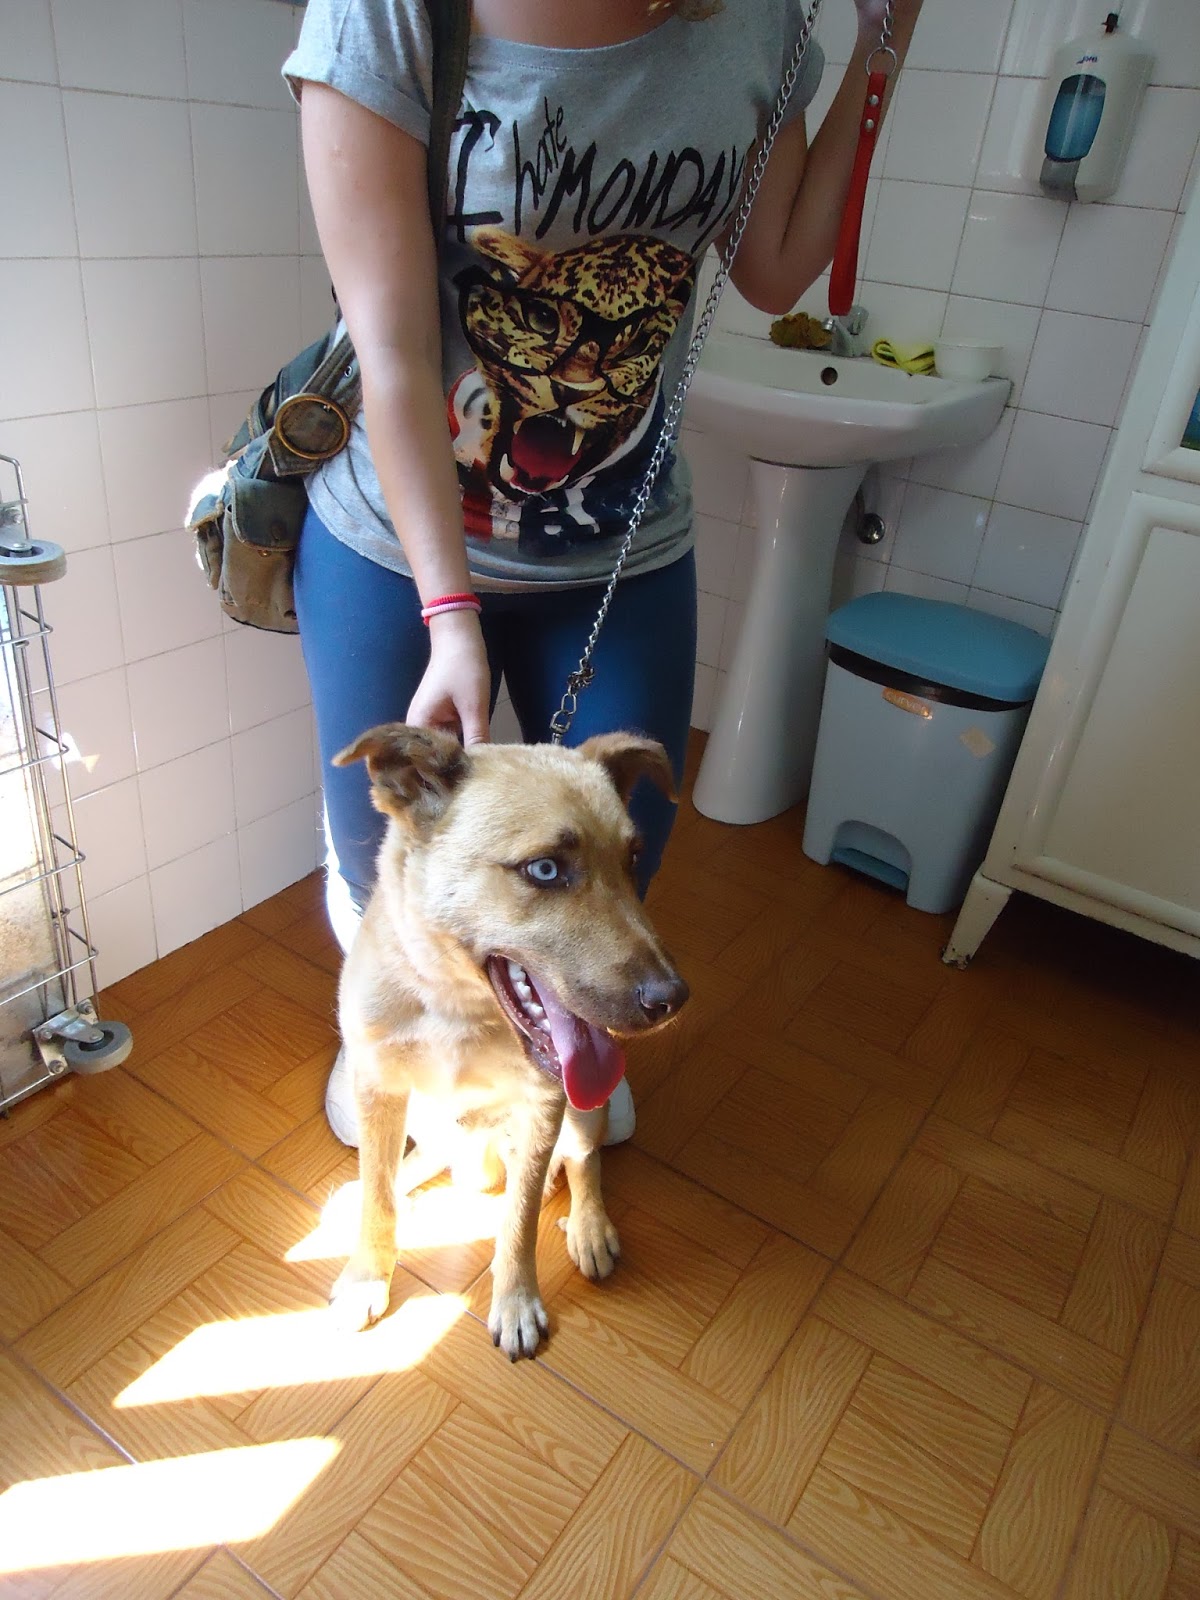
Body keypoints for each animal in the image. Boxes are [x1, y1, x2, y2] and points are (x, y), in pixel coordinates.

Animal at [328, 723, 689, 1358]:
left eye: (632, 859)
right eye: (544, 870)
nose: (673, 999)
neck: (456, 1006)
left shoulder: (545, 1105)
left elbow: (517, 1224)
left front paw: (516, 1301)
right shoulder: (378, 1086)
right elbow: (378, 1195)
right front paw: (367, 1275)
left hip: (580, 1116)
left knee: (585, 1161)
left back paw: (590, 1227)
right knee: (404, 1166)